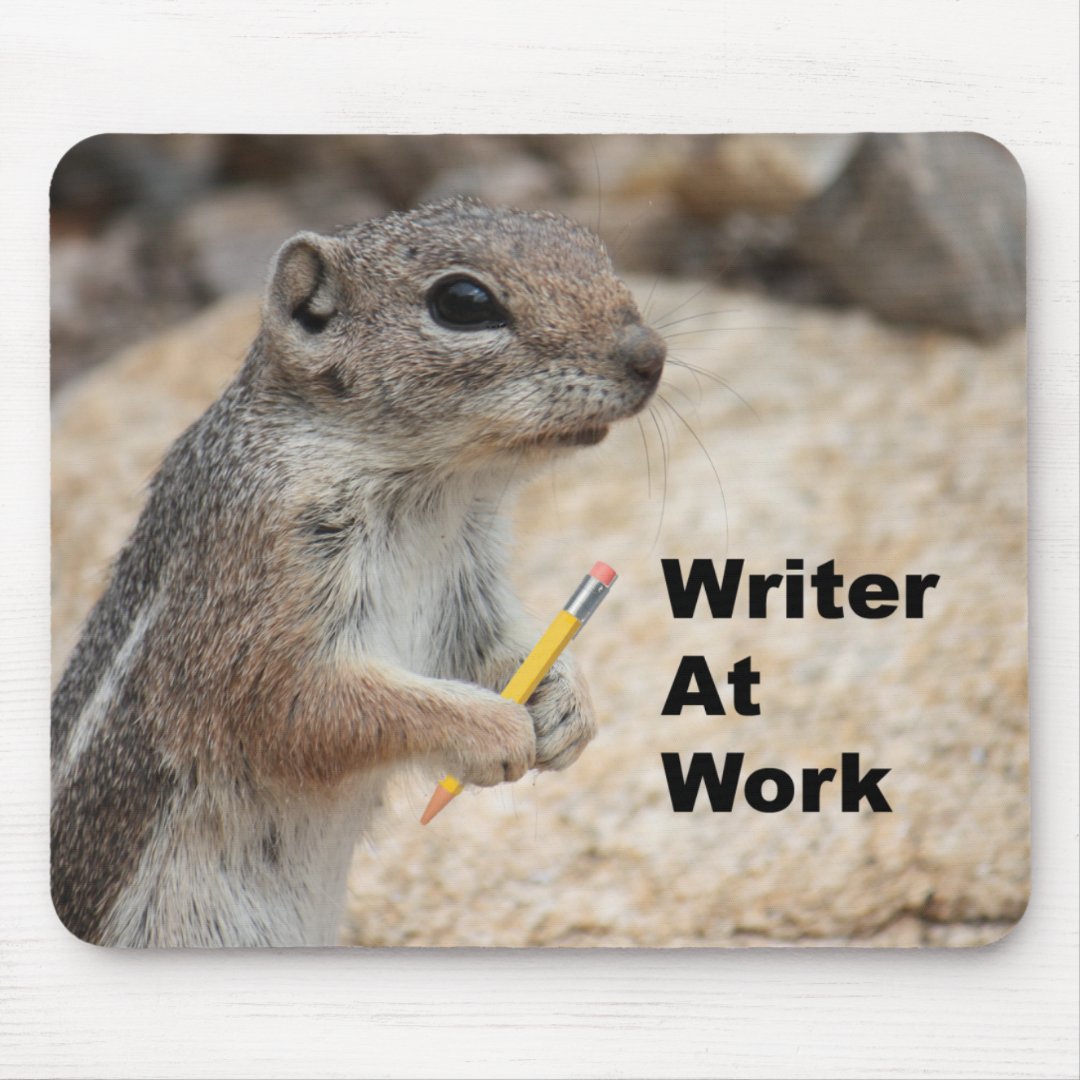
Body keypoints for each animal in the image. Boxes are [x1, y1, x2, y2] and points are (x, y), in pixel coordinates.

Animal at [51, 197, 666, 947]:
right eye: (463, 303)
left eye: (592, 248)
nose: (651, 355)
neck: (436, 493)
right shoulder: (256, 588)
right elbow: (307, 707)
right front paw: (493, 732)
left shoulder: (468, 593)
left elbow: (502, 651)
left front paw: (569, 707)